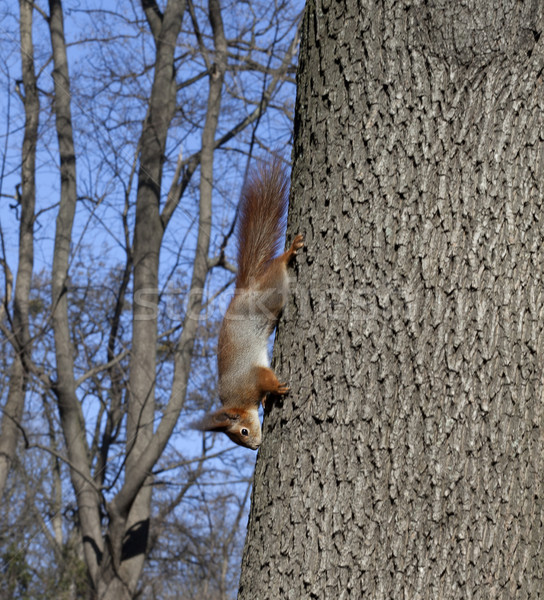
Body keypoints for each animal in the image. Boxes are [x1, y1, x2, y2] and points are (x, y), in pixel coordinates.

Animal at [194, 159, 306, 450]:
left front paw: (276, 388)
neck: (239, 400)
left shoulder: (252, 377)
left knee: (278, 269)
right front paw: (268, 399)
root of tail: (243, 292)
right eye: (239, 438)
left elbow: (266, 378)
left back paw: (289, 252)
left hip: (270, 294)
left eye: (243, 432)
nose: (255, 446)